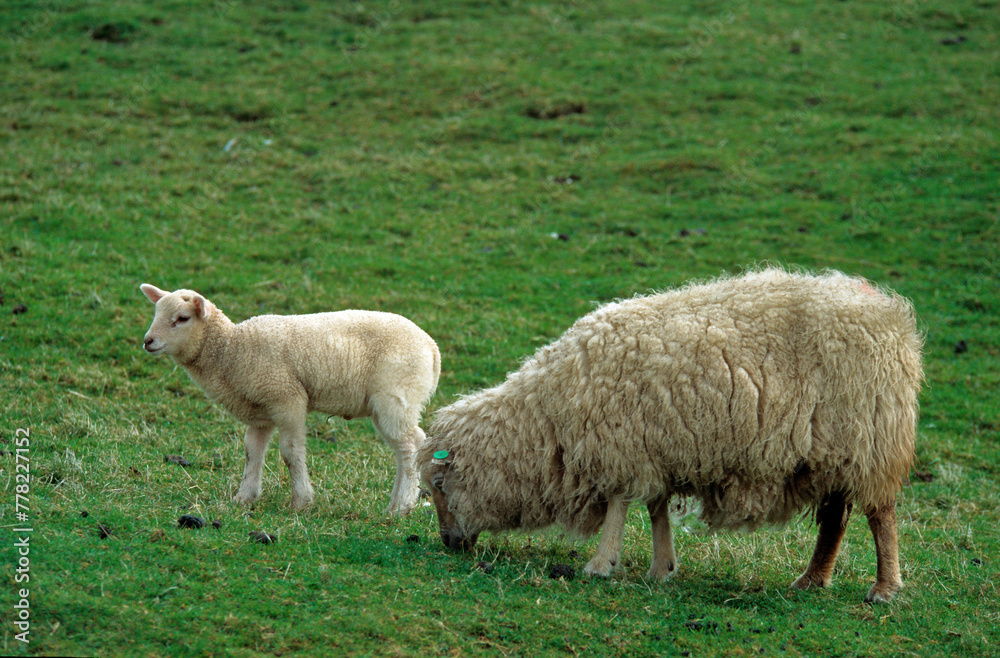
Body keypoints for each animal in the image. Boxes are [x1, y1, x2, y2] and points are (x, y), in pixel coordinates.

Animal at [143, 284, 440, 516]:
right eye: (156, 313)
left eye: (182, 318)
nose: (148, 341)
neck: (232, 350)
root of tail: (432, 347)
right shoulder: (259, 412)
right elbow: (252, 452)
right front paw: (244, 497)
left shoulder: (287, 398)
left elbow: (290, 452)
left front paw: (301, 501)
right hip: (391, 403)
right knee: (407, 446)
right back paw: (395, 505)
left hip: (396, 397)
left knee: (409, 445)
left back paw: (402, 506)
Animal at [420, 266, 920, 600]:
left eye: (441, 484)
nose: (448, 544)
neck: (550, 414)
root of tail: (888, 313)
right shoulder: (653, 447)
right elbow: (656, 508)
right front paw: (663, 567)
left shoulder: (621, 445)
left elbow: (620, 504)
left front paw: (601, 564)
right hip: (832, 451)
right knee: (836, 518)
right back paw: (812, 579)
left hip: (869, 438)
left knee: (880, 515)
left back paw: (885, 587)